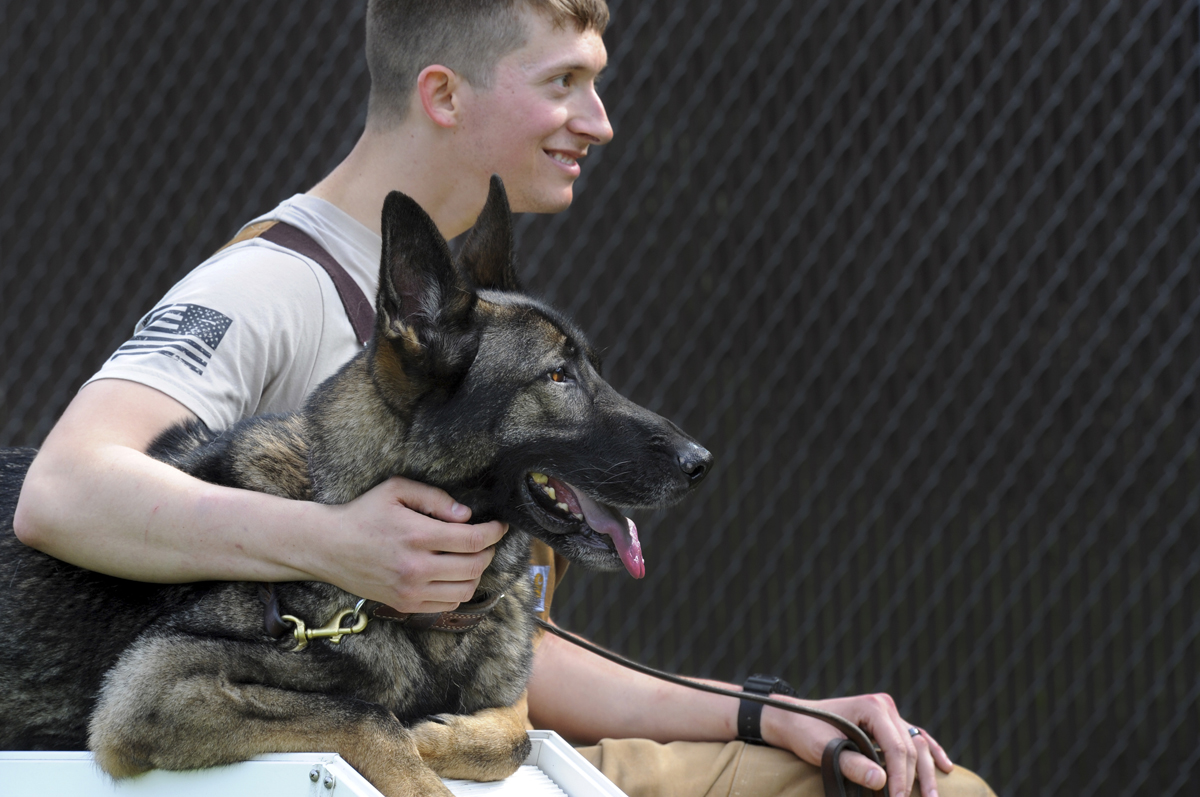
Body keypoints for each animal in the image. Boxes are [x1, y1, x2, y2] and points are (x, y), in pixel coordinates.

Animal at [0, 178, 710, 797]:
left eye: (592, 368)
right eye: (557, 377)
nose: (700, 461)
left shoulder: (508, 703)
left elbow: (516, 735)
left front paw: (438, 735)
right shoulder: (157, 691)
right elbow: (367, 717)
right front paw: (417, 751)